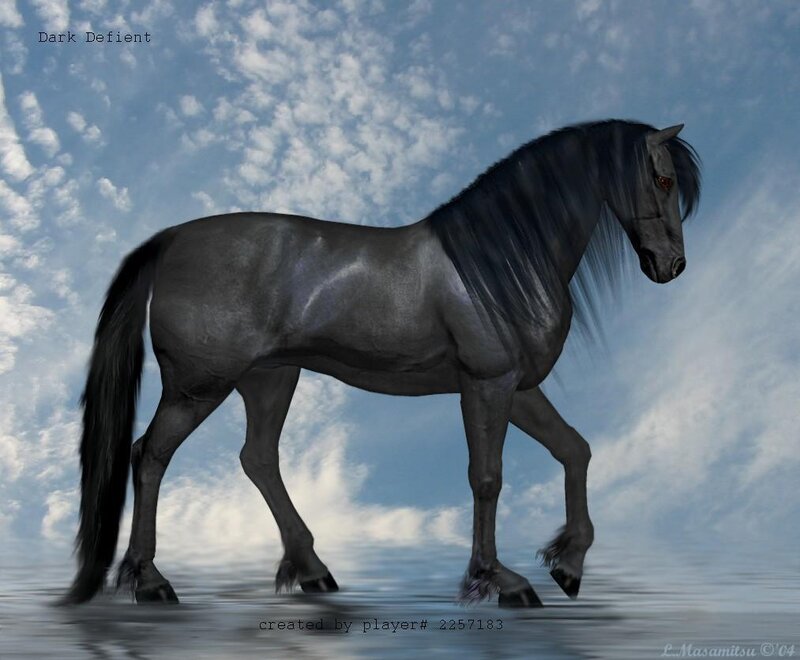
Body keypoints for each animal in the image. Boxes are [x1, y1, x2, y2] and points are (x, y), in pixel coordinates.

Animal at [60, 119, 701, 608]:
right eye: (662, 178)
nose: (671, 266)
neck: (499, 261)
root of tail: (170, 240)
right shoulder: (487, 385)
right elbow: (487, 478)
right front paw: (499, 581)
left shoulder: (516, 388)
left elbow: (575, 450)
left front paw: (567, 565)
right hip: (199, 386)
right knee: (150, 455)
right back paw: (151, 582)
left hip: (269, 379)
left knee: (257, 459)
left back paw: (312, 571)